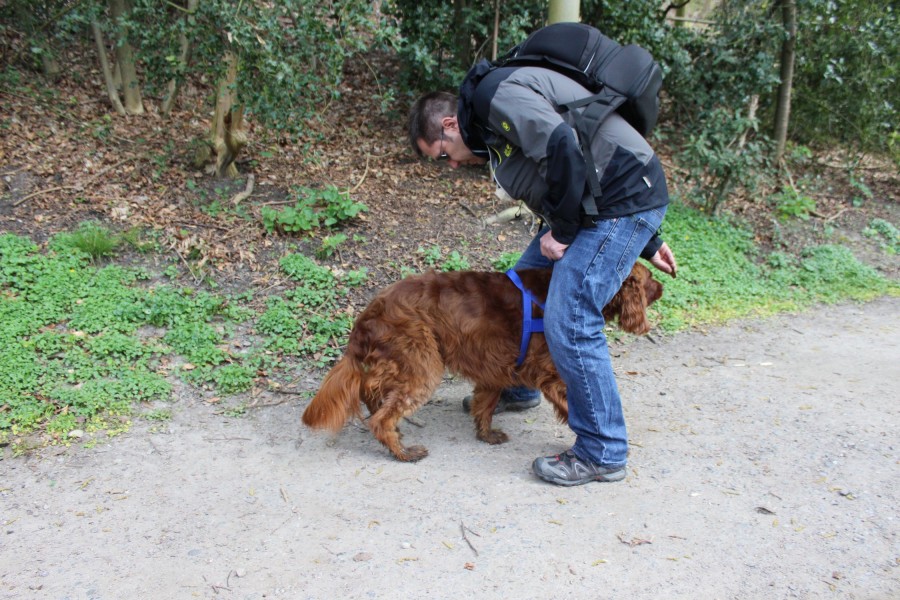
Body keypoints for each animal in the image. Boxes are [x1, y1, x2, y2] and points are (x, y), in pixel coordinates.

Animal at [301, 263, 663, 461]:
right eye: (648, 278)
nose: (664, 285)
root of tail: (366, 317)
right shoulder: (549, 372)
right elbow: (574, 404)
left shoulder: (494, 368)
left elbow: (485, 406)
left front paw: (486, 435)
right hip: (422, 365)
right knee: (380, 416)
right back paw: (402, 453)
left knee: (372, 395)